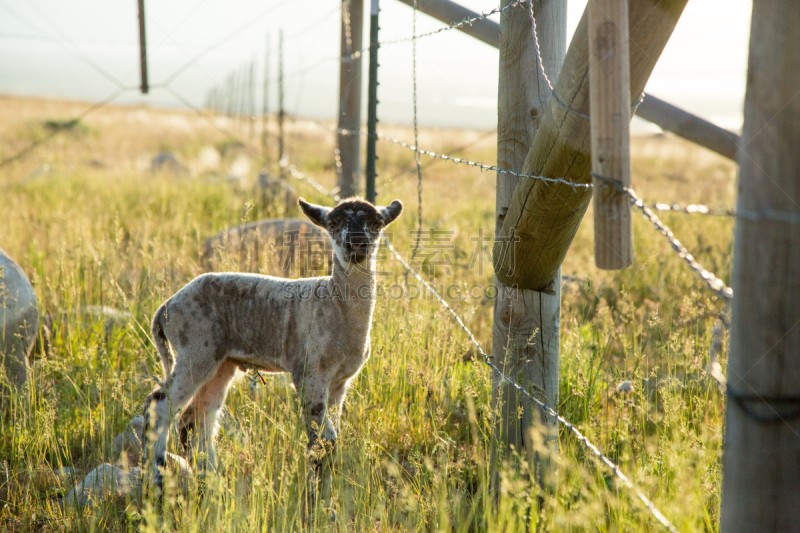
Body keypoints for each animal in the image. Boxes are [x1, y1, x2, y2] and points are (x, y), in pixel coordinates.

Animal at [141, 197, 404, 492]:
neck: (334, 303)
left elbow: (332, 437)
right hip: (195, 349)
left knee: (196, 419)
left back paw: (211, 480)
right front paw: (316, 494)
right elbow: (321, 440)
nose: (357, 243)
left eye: (376, 223)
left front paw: (326, 489)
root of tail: (167, 306)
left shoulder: (340, 382)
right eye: (333, 223)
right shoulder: (309, 372)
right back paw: (159, 476)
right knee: (160, 406)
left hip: (220, 362)